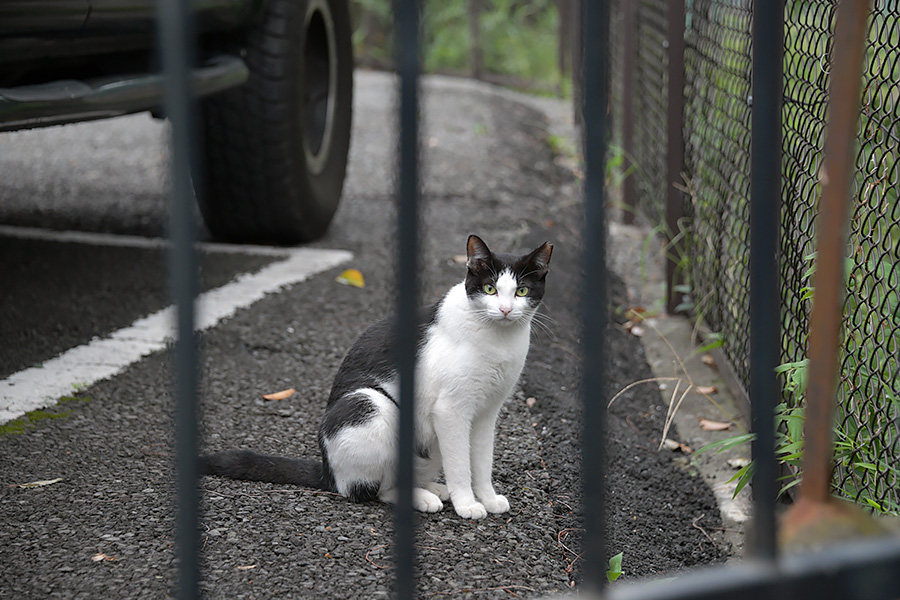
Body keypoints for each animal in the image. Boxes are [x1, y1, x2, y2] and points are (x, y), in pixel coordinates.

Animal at [201, 234, 552, 520]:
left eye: (521, 291)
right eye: (490, 289)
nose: (505, 310)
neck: (498, 341)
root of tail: (328, 471)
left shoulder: (486, 413)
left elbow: (480, 462)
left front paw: (488, 499)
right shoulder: (451, 410)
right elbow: (459, 465)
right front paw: (467, 504)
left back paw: (432, 489)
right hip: (372, 406)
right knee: (371, 490)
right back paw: (424, 498)